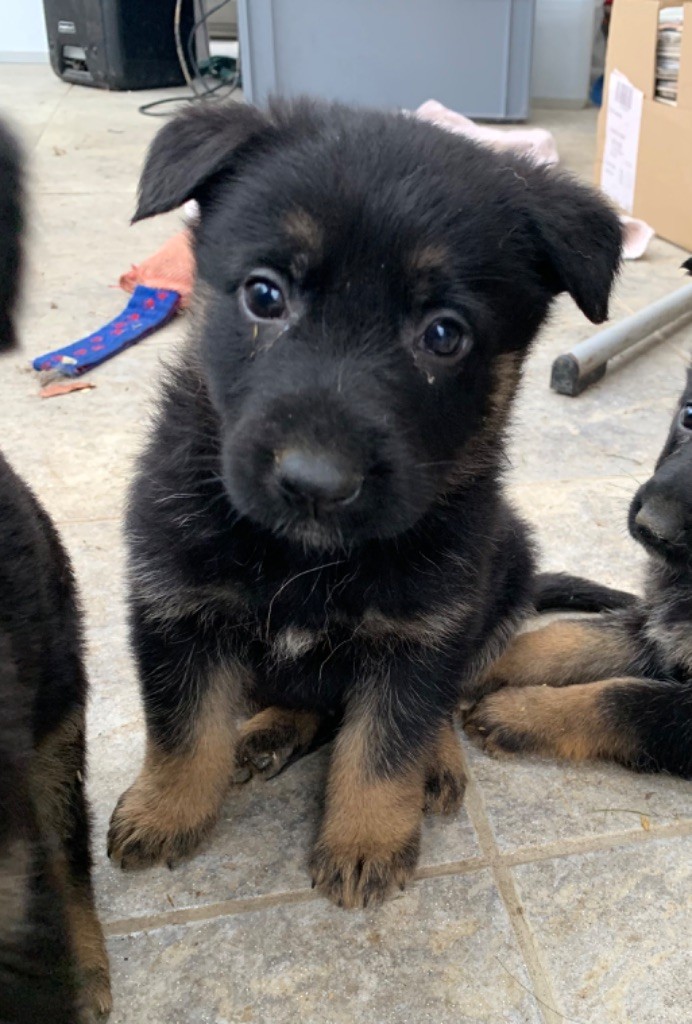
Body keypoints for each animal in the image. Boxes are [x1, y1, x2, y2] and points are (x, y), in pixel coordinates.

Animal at [106, 99, 622, 909]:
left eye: (444, 334)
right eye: (264, 295)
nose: (315, 483)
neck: (305, 557)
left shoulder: (421, 633)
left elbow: (386, 741)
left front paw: (366, 838)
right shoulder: (176, 607)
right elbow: (183, 728)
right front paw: (166, 809)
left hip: (497, 585)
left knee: (431, 708)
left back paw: (433, 762)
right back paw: (266, 731)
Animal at [462, 360, 692, 774]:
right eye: (688, 415)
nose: (653, 527)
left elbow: (624, 698)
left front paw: (523, 713)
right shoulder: (653, 629)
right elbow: (567, 637)